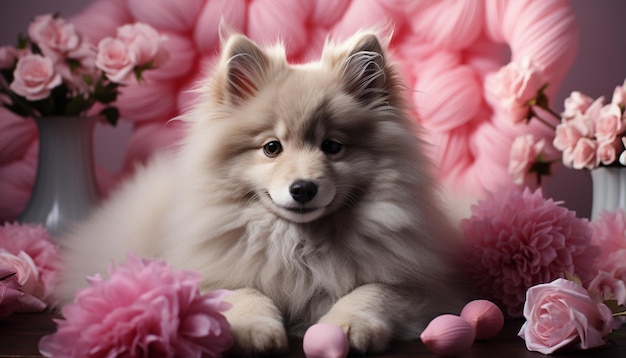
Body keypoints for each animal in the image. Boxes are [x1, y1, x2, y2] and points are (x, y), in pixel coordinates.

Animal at [58, 31, 466, 356]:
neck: (300, 244)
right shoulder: (208, 275)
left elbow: (372, 292)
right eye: (272, 148)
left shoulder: (421, 289)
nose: (303, 188)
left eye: (332, 147)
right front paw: (254, 330)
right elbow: (243, 293)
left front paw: (344, 327)